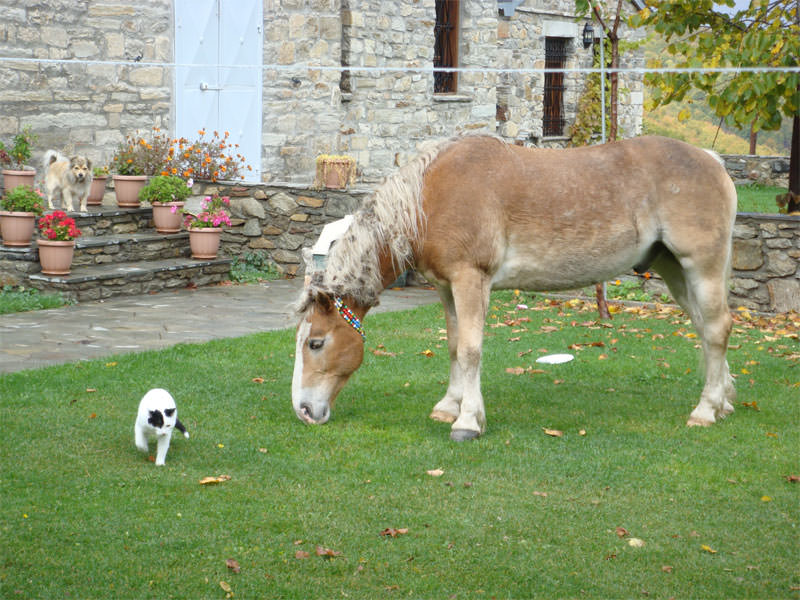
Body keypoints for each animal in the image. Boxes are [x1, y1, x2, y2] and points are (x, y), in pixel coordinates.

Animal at [290, 137, 736, 446]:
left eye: (315, 343)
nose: (303, 410)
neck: (429, 197)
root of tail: (711, 161)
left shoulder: (471, 280)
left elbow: (471, 350)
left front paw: (468, 421)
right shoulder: (446, 287)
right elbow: (454, 346)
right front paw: (448, 406)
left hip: (701, 265)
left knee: (717, 329)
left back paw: (705, 410)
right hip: (673, 268)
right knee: (704, 327)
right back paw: (725, 398)